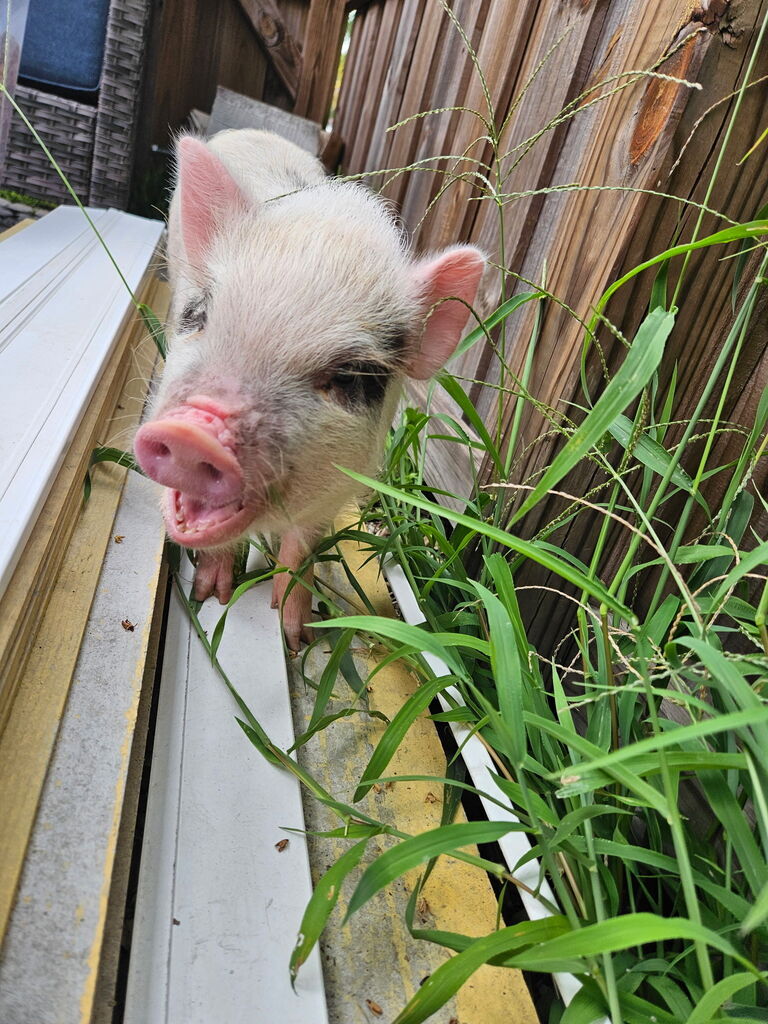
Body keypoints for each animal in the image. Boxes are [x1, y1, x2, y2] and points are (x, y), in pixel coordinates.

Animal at [133, 129, 484, 650]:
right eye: (199, 316)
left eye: (351, 376)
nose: (194, 431)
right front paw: (210, 598)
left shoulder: (339, 488)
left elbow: (303, 546)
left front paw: (296, 636)